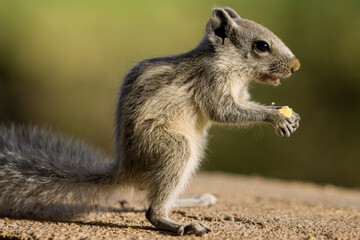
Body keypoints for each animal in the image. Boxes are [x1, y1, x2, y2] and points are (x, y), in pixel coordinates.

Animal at [0, 7, 300, 236]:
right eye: (262, 46)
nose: (296, 66)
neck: (230, 66)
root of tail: (126, 168)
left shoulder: (240, 94)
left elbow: (246, 106)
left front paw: (288, 114)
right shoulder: (212, 83)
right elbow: (224, 113)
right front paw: (276, 117)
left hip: (193, 151)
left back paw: (194, 201)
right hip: (175, 148)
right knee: (152, 211)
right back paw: (180, 225)